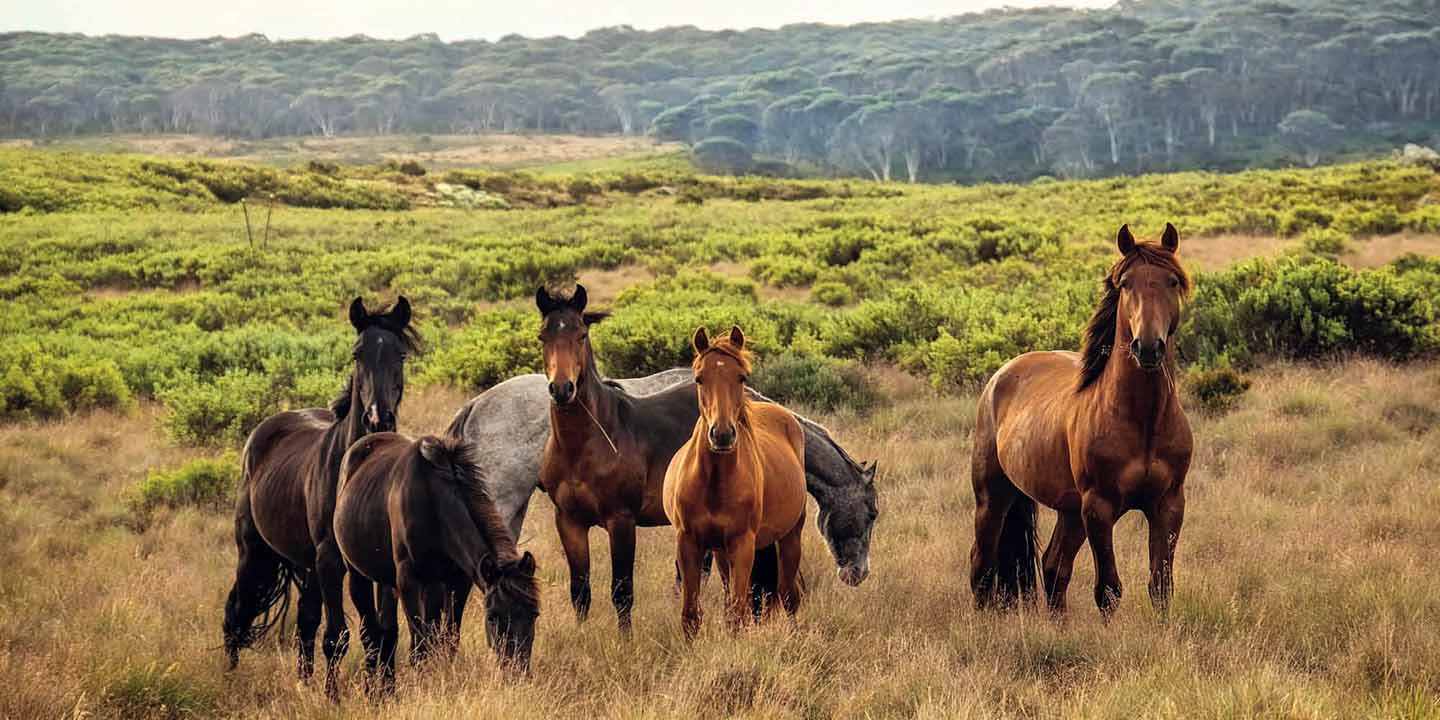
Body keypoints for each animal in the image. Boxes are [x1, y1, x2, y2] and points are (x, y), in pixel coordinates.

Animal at [222, 296, 418, 698]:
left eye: (401, 354)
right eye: (357, 353)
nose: (378, 419)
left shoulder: (377, 564)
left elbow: (384, 631)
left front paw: (384, 692)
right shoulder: (331, 560)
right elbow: (339, 635)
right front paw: (334, 698)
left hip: (307, 566)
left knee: (305, 621)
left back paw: (304, 681)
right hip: (255, 553)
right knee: (237, 609)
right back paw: (231, 676)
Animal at [334, 433, 540, 685]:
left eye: (534, 614)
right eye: (492, 618)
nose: (517, 674)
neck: (434, 502)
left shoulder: (458, 581)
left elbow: (448, 640)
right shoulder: (408, 580)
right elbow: (419, 648)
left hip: (404, 584)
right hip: (358, 575)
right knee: (370, 634)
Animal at [665, 326, 807, 639]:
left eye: (741, 376)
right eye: (699, 378)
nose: (722, 435)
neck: (714, 483)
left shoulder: (743, 544)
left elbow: (738, 613)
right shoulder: (689, 542)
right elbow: (690, 615)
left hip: (790, 537)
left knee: (789, 596)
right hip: (720, 551)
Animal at [969, 223, 1192, 618]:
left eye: (1172, 281)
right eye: (1125, 284)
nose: (1148, 347)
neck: (1143, 421)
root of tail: (1001, 375)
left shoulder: (1168, 504)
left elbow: (1161, 586)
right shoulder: (1099, 508)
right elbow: (1109, 590)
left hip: (1069, 510)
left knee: (1053, 566)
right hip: (993, 497)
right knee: (982, 565)